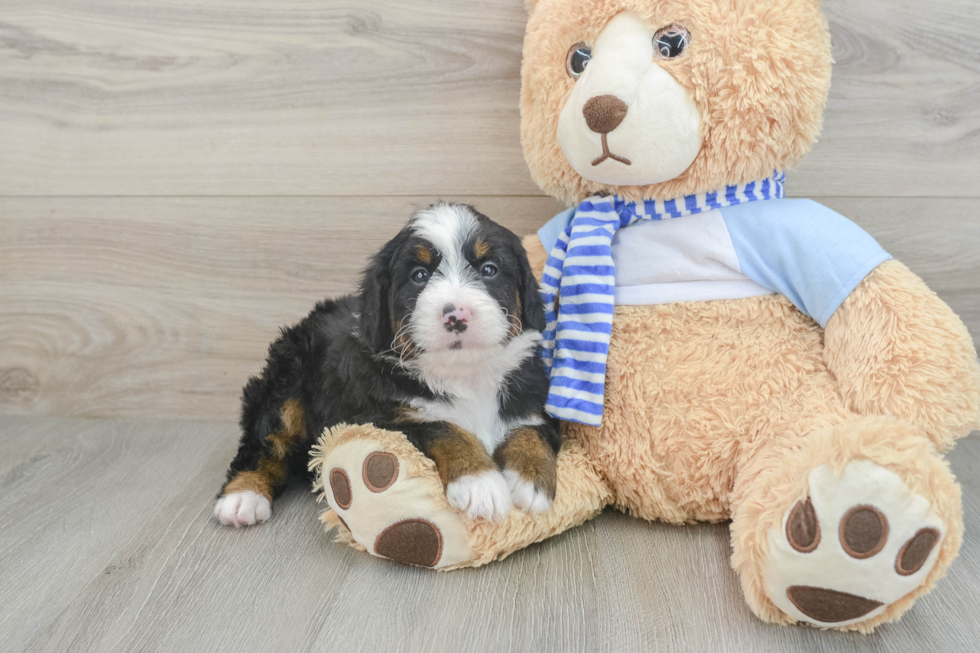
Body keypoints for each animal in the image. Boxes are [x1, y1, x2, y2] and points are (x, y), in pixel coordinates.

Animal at [218, 201, 564, 528]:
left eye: (489, 269)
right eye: (419, 275)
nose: (456, 315)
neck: (464, 375)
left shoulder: (532, 400)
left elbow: (530, 430)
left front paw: (529, 481)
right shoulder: (376, 420)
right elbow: (443, 427)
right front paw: (480, 483)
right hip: (287, 379)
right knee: (264, 441)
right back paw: (242, 498)